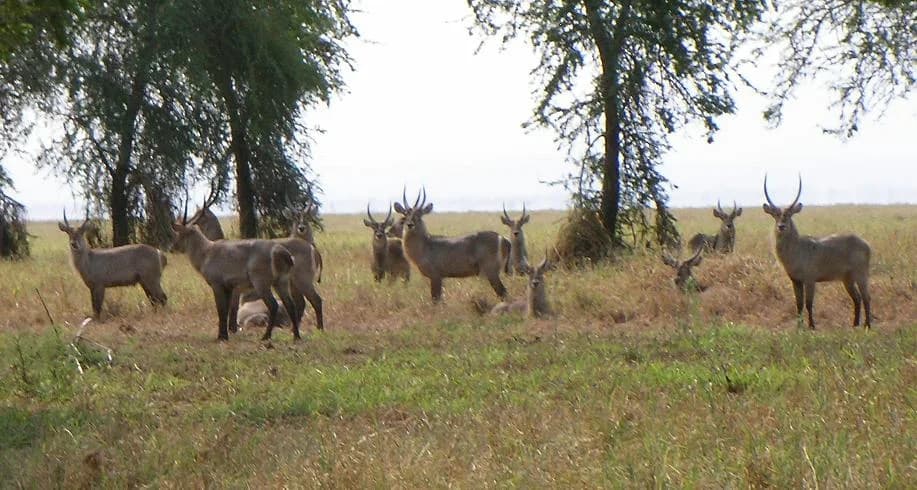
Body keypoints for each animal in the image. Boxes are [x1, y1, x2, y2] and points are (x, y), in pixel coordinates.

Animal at [171, 218, 300, 341]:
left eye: (180, 233)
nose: (172, 247)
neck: (205, 254)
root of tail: (282, 252)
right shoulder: (229, 287)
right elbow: (226, 311)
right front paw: (224, 335)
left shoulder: (217, 285)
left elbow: (221, 310)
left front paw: (222, 337)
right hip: (281, 281)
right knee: (291, 305)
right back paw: (296, 336)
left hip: (261, 282)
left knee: (273, 305)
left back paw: (266, 336)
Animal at [763, 175, 871, 329]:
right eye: (775, 215)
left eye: (789, 215)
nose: (781, 226)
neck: (796, 248)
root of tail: (865, 243)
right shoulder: (795, 281)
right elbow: (799, 304)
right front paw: (799, 327)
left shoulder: (810, 280)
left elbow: (809, 303)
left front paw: (812, 326)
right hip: (847, 279)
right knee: (857, 298)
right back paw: (855, 324)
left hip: (861, 274)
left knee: (866, 297)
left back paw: (867, 325)